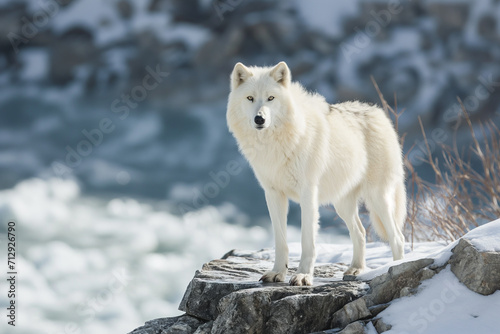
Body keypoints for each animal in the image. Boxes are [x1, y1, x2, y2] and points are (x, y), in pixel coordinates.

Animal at [227, 61, 406, 286]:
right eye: (250, 98)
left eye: (271, 98)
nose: (260, 119)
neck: (276, 144)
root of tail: (378, 113)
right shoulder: (273, 194)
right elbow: (280, 240)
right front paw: (277, 273)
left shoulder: (308, 193)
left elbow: (307, 241)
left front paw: (303, 275)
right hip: (343, 204)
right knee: (361, 232)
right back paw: (355, 269)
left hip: (377, 198)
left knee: (397, 237)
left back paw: (395, 268)